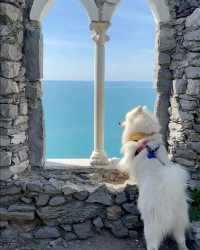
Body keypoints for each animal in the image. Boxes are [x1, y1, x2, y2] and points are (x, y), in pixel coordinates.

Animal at [118, 106, 190, 250]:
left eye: (125, 117)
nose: (118, 122)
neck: (144, 136)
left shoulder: (130, 160)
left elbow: (131, 172)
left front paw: (130, 180)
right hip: (180, 221)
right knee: (181, 239)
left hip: (151, 224)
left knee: (152, 243)